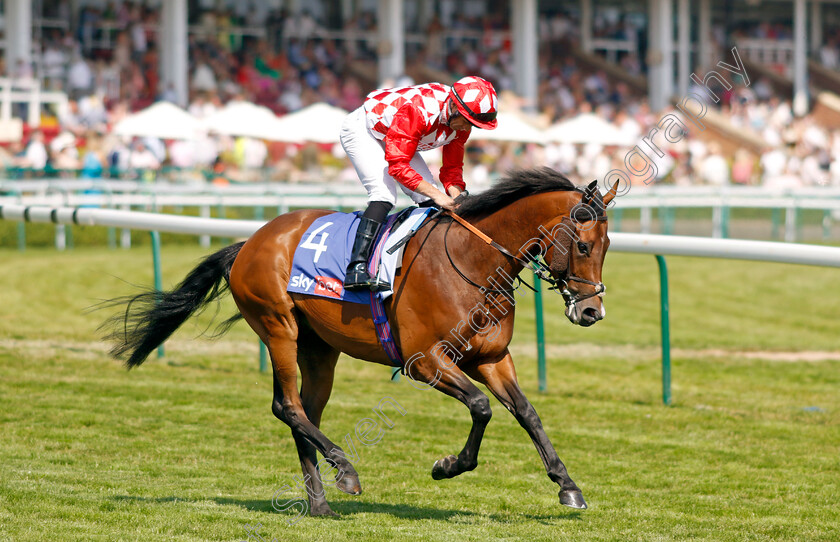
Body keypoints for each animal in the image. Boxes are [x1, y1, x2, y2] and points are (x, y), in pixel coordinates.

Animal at [103, 169, 616, 520]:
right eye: (584, 246)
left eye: (609, 245)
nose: (591, 312)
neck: (472, 262)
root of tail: (249, 242)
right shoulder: (424, 362)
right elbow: (481, 407)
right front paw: (448, 465)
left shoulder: (491, 357)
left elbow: (526, 412)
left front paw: (567, 485)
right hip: (278, 327)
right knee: (286, 405)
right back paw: (345, 471)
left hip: (319, 349)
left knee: (304, 410)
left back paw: (319, 502)